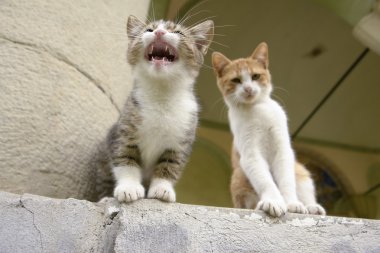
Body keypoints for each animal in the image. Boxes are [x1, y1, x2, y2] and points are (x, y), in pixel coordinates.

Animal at [107, 15, 214, 203]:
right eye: (148, 30)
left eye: (177, 32)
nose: (159, 32)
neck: (161, 94)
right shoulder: (123, 131)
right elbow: (125, 157)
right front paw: (129, 187)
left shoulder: (181, 141)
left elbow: (170, 166)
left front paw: (162, 189)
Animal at [211, 42, 324, 216]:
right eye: (236, 80)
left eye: (255, 76)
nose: (248, 88)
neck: (258, 109)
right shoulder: (251, 155)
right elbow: (265, 181)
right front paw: (273, 201)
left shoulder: (282, 149)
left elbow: (286, 181)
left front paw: (292, 204)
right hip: (238, 176)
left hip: (299, 171)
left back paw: (312, 207)